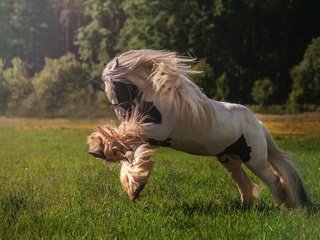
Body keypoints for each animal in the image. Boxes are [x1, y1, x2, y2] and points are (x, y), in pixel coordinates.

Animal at [90, 49, 310, 208]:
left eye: (115, 86)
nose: (123, 116)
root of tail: (259, 124)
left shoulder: (156, 131)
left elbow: (127, 142)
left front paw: (99, 149)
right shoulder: (149, 137)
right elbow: (131, 155)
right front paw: (134, 185)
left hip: (254, 159)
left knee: (273, 179)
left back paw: (284, 208)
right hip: (229, 158)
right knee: (242, 181)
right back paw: (246, 207)